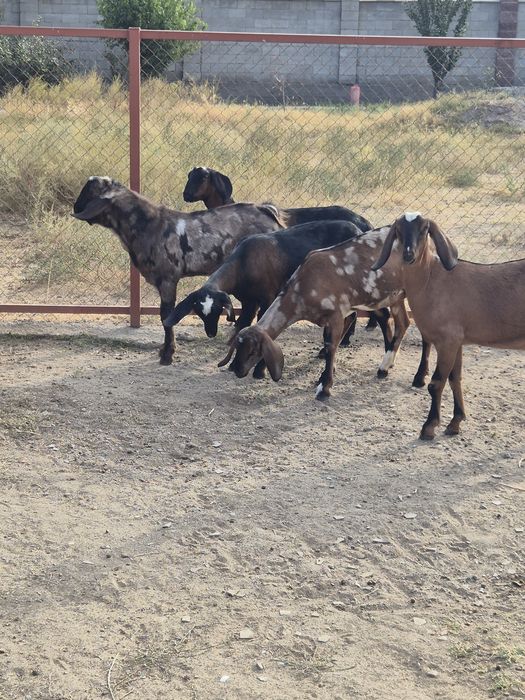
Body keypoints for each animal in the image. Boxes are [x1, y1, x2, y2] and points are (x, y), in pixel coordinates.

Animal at [72, 176, 286, 365]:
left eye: (89, 192)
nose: (75, 207)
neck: (150, 225)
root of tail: (268, 212)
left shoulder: (168, 279)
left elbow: (166, 316)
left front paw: (167, 354)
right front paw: (165, 351)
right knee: (250, 306)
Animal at [163, 220, 392, 378]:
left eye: (218, 310)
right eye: (199, 312)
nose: (211, 333)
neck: (244, 263)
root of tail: (360, 229)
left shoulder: (267, 298)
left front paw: (260, 369)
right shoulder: (248, 301)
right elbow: (242, 325)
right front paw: (232, 360)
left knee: (376, 315)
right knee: (351, 316)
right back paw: (330, 348)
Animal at [219, 226, 411, 399]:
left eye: (253, 351)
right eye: (237, 347)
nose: (237, 370)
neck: (303, 288)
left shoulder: (335, 315)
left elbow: (331, 346)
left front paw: (324, 388)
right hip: (391, 296)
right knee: (401, 322)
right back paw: (386, 365)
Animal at [372, 212, 525, 440]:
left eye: (425, 229)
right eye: (398, 230)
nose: (408, 255)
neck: (432, 280)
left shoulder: (447, 341)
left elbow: (436, 383)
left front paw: (429, 427)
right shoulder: (457, 341)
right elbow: (455, 378)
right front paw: (455, 422)